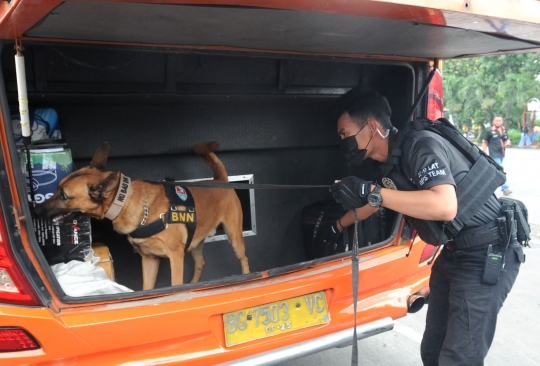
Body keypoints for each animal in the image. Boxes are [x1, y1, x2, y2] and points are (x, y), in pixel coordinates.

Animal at [34, 142, 250, 288]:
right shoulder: (149, 260)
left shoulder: (176, 257)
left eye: (64, 196)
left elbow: (175, 285)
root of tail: (220, 180)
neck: (126, 201)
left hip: (234, 237)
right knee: (200, 263)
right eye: (57, 188)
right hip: (196, 241)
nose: (36, 209)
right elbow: (148, 287)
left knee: (244, 258)